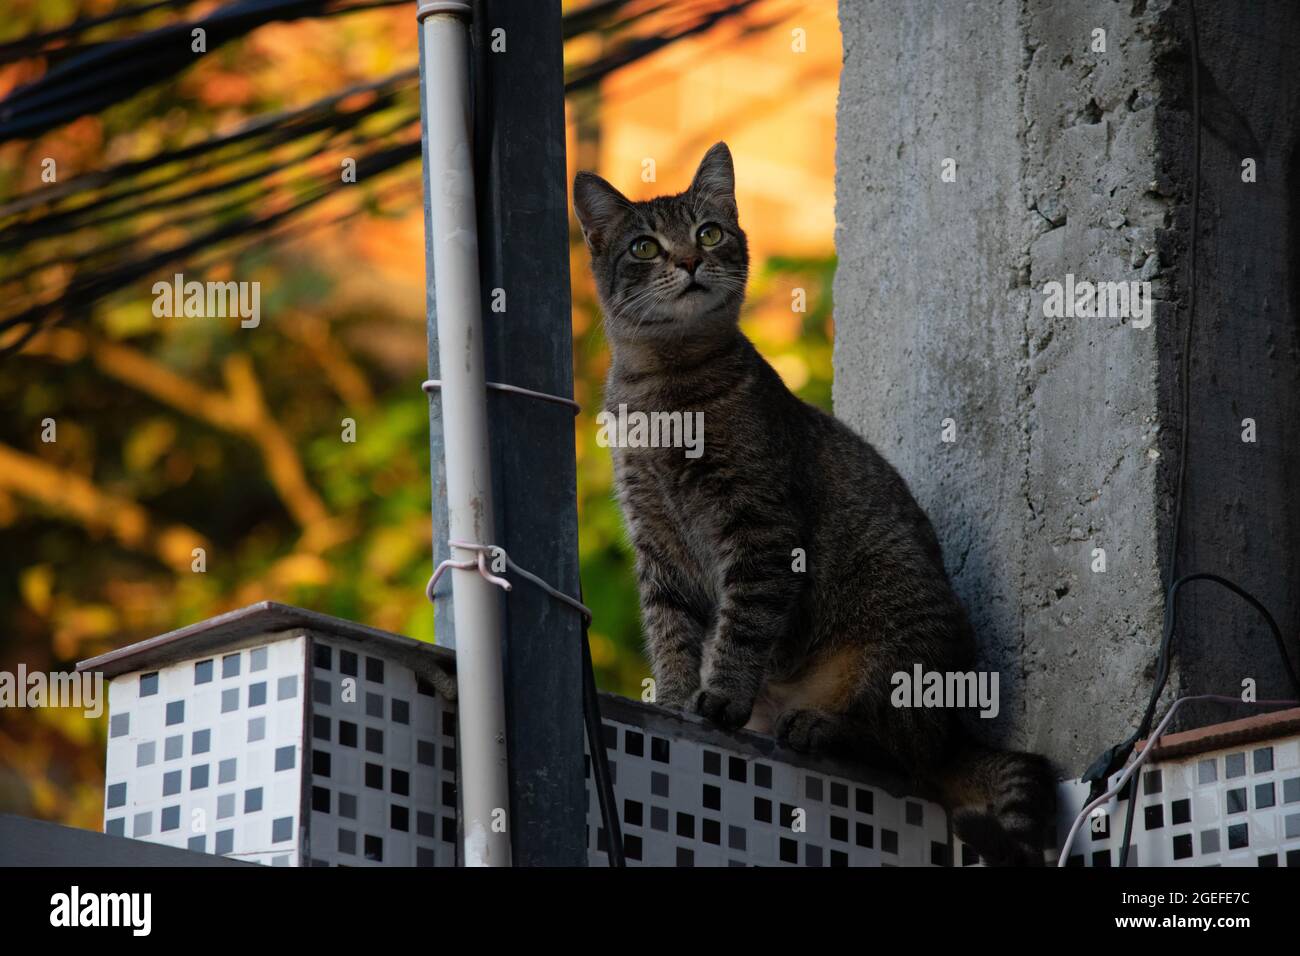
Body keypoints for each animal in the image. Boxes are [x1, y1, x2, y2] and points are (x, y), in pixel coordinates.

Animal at [577, 141, 1055, 868]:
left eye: (708, 234)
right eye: (644, 246)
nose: (687, 261)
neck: (664, 391)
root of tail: (957, 735)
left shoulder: (760, 529)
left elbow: (741, 628)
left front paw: (719, 698)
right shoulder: (655, 541)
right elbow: (672, 635)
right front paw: (680, 697)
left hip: (894, 645)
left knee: (902, 753)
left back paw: (823, 727)